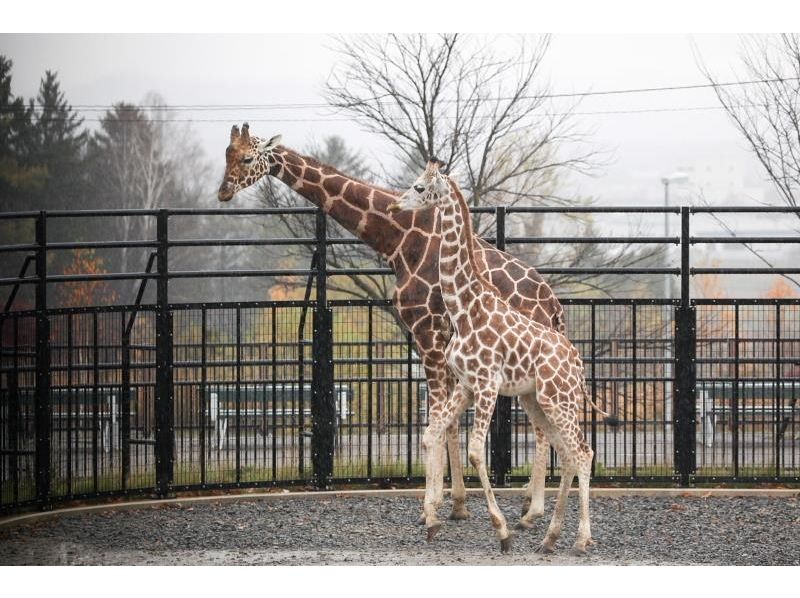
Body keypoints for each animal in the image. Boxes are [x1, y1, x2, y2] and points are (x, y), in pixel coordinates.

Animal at [217, 124, 564, 528]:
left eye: (247, 158)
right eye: (226, 153)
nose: (223, 191)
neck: (399, 240)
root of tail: (553, 305)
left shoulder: (427, 331)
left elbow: (435, 421)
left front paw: (431, 507)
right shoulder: (431, 339)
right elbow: (446, 422)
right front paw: (457, 503)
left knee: (543, 426)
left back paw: (531, 508)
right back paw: (528, 504)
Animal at [390, 161, 616, 556]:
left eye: (419, 187)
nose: (395, 205)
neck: (465, 310)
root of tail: (576, 362)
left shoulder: (487, 385)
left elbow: (476, 452)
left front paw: (502, 531)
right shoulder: (466, 385)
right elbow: (432, 433)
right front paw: (432, 520)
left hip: (558, 400)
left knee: (583, 451)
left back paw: (579, 539)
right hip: (539, 400)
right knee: (567, 451)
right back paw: (550, 538)